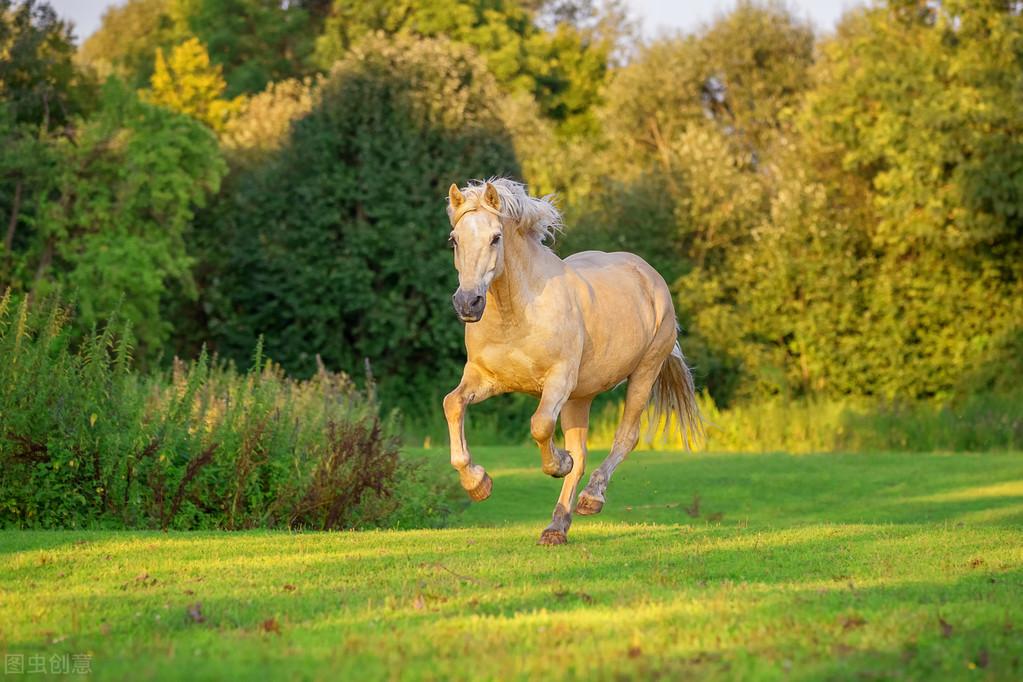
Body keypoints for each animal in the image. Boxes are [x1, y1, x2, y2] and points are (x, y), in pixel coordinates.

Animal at [441, 178, 703, 548]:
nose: (468, 303)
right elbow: (452, 404)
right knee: (582, 454)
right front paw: (478, 484)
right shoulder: (485, 378)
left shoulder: (558, 381)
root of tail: (648, 274)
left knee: (626, 436)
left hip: (643, 373)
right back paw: (556, 528)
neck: (516, 313)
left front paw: (557, 463)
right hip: (580, 397)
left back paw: (591, 498)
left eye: (496, 237)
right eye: (454, 239)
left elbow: (540, 426)